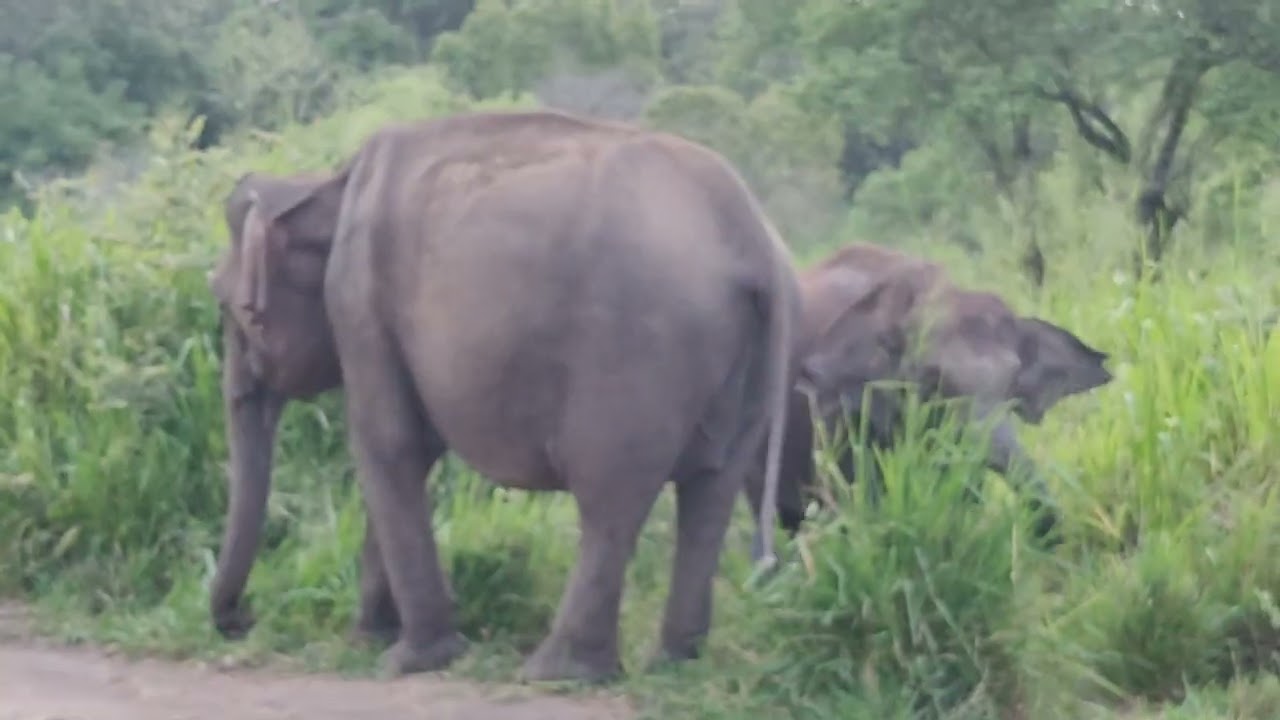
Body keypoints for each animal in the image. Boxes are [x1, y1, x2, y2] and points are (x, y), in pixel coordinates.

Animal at [204, 109, 803, 683]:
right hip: (748, 366)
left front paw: (406, 660)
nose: (241, 619)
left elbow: (387, 443)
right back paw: (671, 665)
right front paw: (369, 642)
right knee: (711, 491)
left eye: (233, 310)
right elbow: (413, 451)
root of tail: (756, 243)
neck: (324, 182)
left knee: (612, 500)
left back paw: (555, 673)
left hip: (639, 357)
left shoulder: (358, 298)